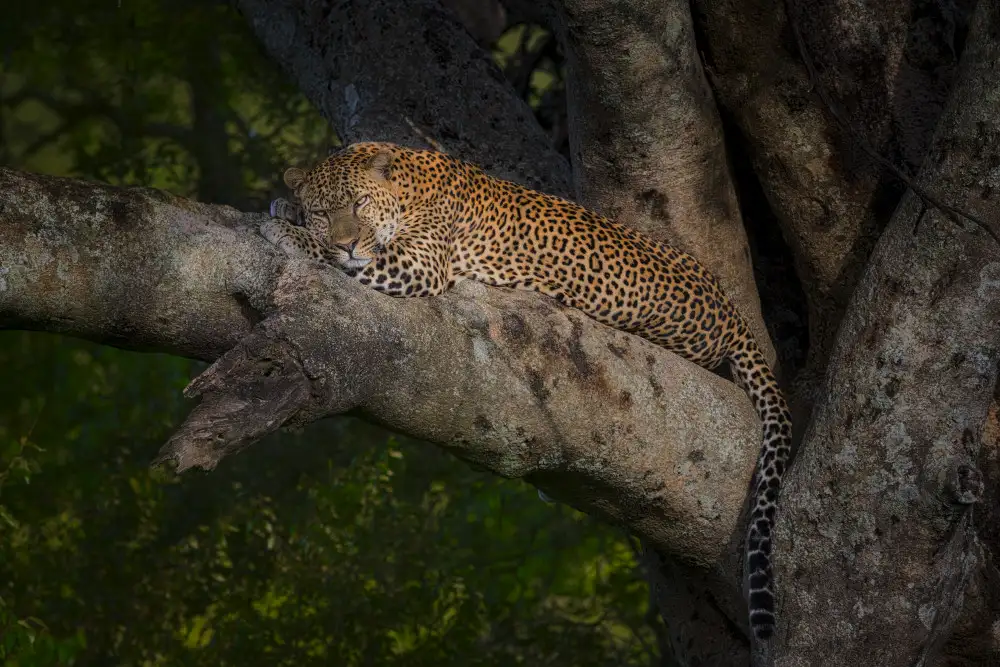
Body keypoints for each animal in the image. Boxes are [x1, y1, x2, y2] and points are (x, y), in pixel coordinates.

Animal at [260, 141, 792, 642]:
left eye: (359, 203)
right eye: (325, 211)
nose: (347, 242)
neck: (406, 181)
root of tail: (731, 311)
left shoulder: (419, 264)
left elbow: (356, 258)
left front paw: (288, 231)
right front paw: (289, 211)